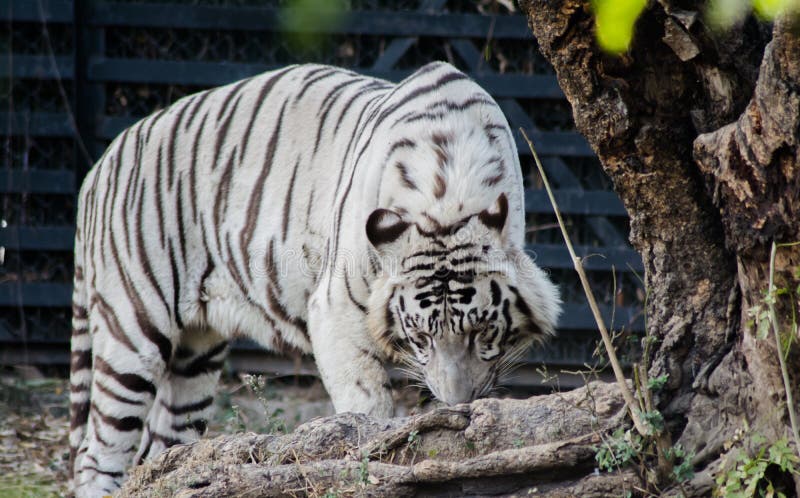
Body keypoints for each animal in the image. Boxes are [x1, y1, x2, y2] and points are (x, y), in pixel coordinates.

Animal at [69, 61, 560, 494]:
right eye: (420, 337)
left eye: (481, 332)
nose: (458, 403)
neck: (446, 197)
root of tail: (99, 167)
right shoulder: (337, 311)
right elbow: (367, 405)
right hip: (132, 330)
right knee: (97, 454)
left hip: (195, 355)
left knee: (161, 448)